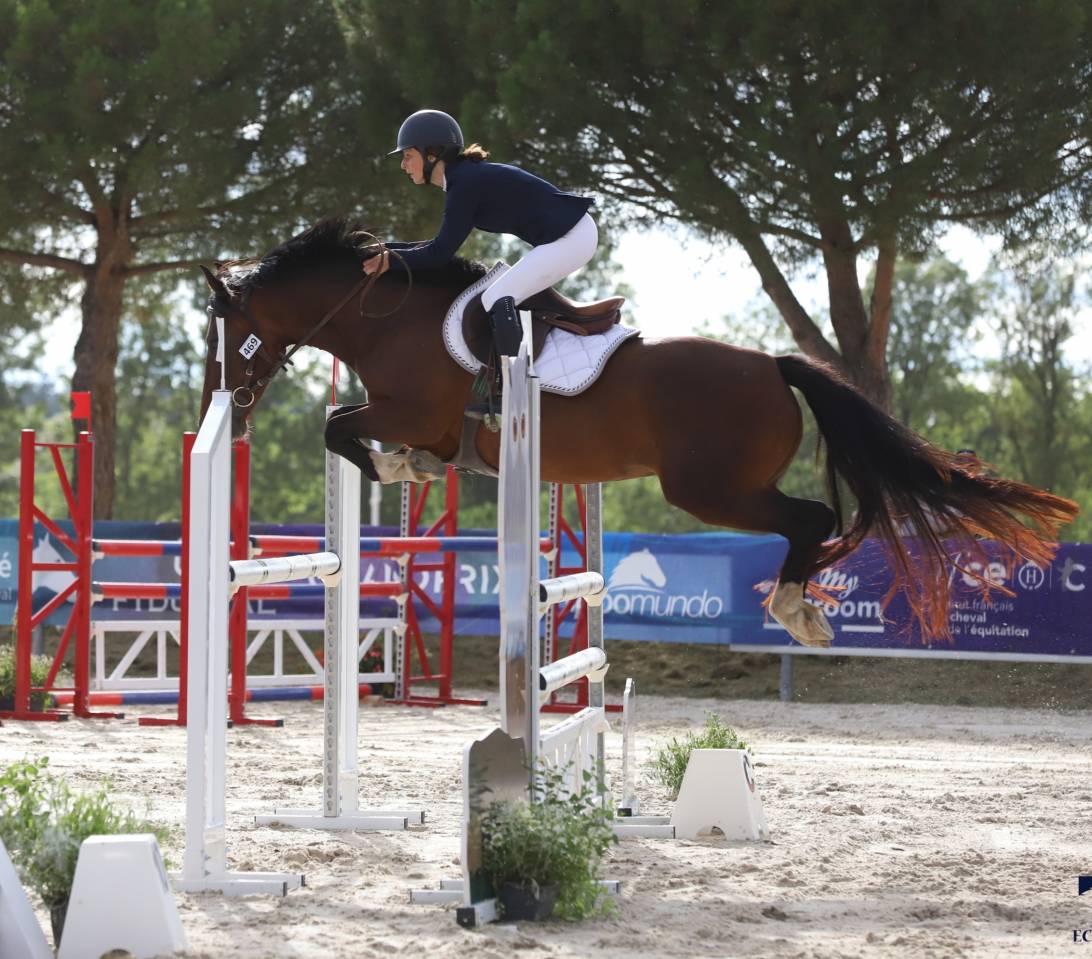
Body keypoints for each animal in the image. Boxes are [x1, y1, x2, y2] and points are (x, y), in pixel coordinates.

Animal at [199, 217, 1079, 647]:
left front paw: (393, 470)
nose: (225, 404)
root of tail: (773, 363)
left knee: (814, 519)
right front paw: (405, 469)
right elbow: (352, 429)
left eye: (226, 329)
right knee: (820, 522)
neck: (388, 316)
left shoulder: (414, 410)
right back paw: (803, 603)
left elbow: (338, 425)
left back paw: (795, 606)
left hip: (707, 489)